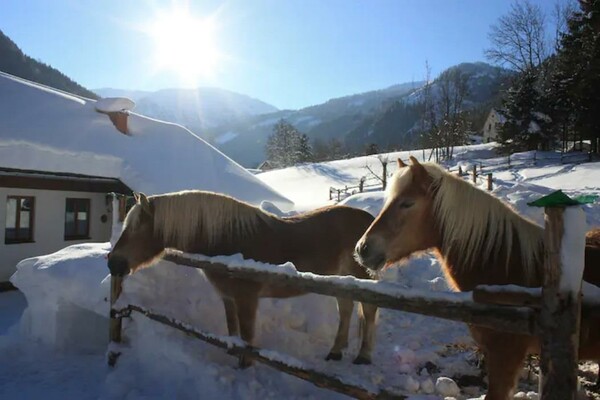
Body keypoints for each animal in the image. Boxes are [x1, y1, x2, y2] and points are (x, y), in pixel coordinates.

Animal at [108, 189, 378, 368]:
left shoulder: (247, 299)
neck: (228, 240)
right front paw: (234, 355)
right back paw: (335, 352)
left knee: (369, 310)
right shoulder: (229, 298)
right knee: (346, 308)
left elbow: (247, 336)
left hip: (360, 279)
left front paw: (245, 364)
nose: (113, 263)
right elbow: (233, 329)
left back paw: (363, 356)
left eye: (137, 228)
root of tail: (368, 221)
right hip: (341, 280)